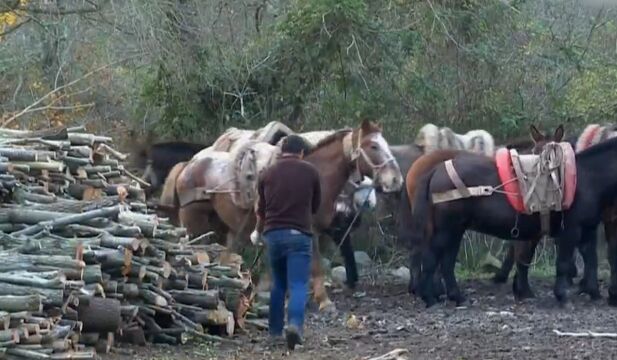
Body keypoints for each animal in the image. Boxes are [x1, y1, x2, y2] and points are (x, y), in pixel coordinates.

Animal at [158, 120, 404, 310]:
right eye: (373, 145)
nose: (396, 180)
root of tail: (187, 165)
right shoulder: (307, 231)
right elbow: (313, 265)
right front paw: (321, 301)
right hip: (195, 225)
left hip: (222, 228)